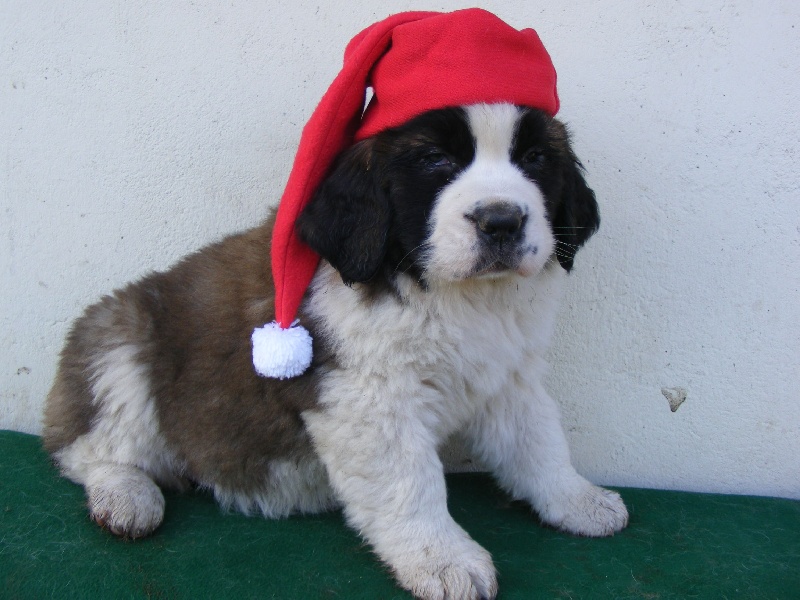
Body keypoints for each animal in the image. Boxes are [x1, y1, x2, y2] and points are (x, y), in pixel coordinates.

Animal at [43, 102, 628, 600]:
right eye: (434, 160)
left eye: (535, 159)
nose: (502, 221)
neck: (451, 293)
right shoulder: (369, 399)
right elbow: (411, 483)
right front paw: (443, 559)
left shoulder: (508, 375)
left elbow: (539, 442)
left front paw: (577, 499)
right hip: (120, 342)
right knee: (85, 449)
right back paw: (125, 496)